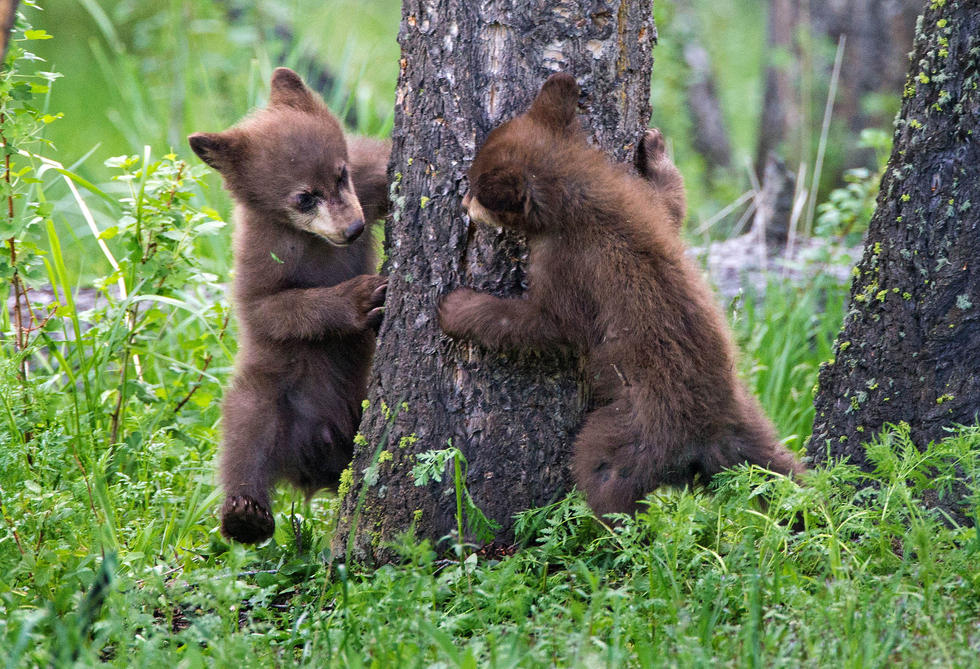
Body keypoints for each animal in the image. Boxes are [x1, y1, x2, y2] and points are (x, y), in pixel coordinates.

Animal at [188, 67, 391, 543]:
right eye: (304, 197)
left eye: (340, 175)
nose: (353, 229)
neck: (309, 238)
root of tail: (314, 464)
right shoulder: (259, 255)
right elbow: (272, 308)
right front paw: (361, 298)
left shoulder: (366, 183)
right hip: (264, 393)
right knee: (244, 439)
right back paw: (246, 516)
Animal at [438, 72, 804, 517]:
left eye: (475, 188)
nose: (462, 202)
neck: (583, 193)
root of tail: (708, 435)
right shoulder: (646, 204)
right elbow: (673, 202)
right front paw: (655, 148)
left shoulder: (570, 262)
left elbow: (548, 323)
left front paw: (456, 308)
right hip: (755, 428)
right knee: (784, 473)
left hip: (629, 431)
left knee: (605, 476)